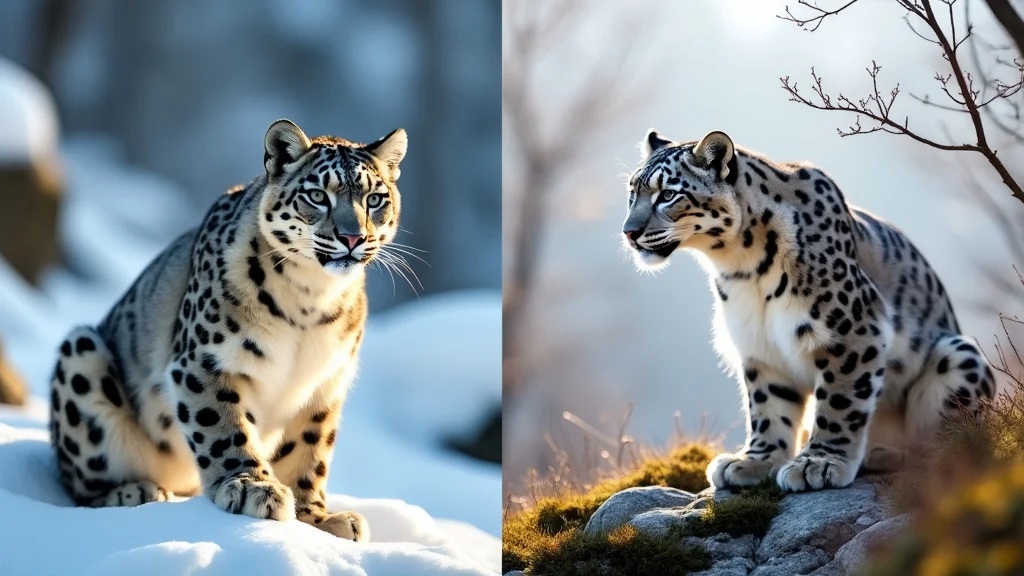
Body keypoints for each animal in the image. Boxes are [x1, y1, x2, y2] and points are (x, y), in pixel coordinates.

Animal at [48, 117, 407, 537]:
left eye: (374, 199)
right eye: (318, 195)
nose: (353, 237)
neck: (311, 298)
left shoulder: (323, 386)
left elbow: (308, 450)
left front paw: (317, 518)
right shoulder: (207, 361)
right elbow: (223, 427)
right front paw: (253, 488)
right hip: (81, 358)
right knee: (78, 485)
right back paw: (135, 492)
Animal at [618, 129, 995, 487]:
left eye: (668, 194)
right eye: (632, 192)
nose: (629, 232)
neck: (741, 268)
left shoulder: (851, 332)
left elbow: (840, 401)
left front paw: (819, 463)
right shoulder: (759, 347)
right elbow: (768, 406)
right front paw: (755, 461)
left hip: (958, 355)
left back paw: (888, 453)